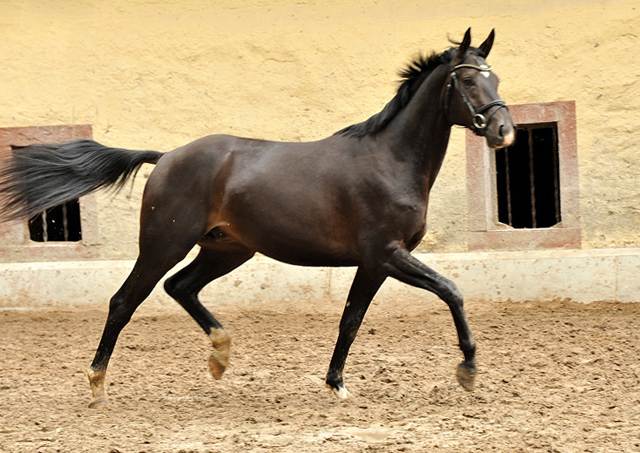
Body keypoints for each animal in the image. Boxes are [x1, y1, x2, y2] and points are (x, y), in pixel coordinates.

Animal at [0, 30, 516, 408]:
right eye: (469, 81)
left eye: (496, 79)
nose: (504, 131)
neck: (389, 160)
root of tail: (166, 156)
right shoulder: (386, 254)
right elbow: (451, 291)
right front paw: (468, 371)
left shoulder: (374, 263)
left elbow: (350, 319)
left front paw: (336, 384)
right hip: (164, 245)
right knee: (124, 301)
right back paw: (97, 383)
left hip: (227, 248)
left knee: (180, 287)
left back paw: (220, 356)